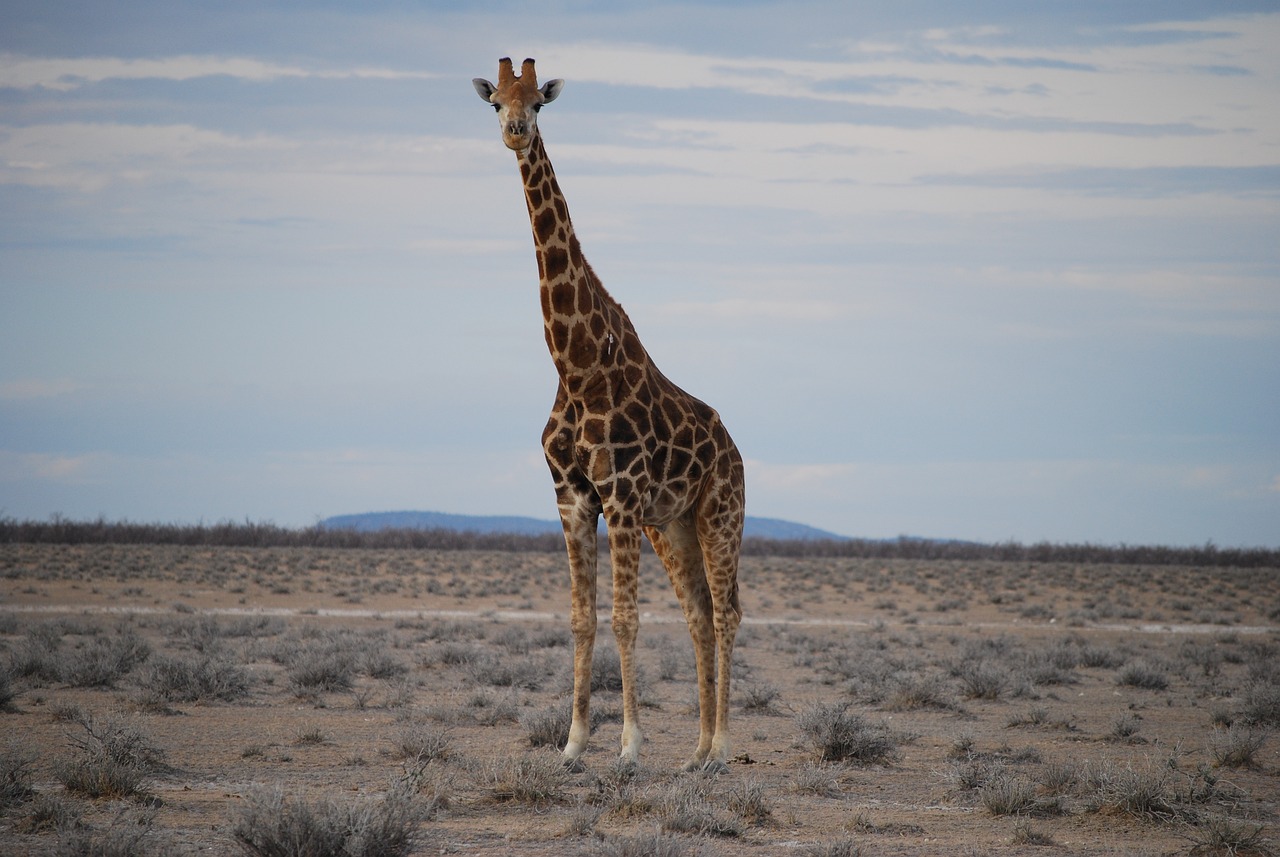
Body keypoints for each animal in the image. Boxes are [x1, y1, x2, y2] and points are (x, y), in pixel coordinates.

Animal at [476, 58, 747, 772]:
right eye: (496, 104)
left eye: (539, 102)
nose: (516, 132)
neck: (574, 366)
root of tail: (735, 448)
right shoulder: (574, 498)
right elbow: (583, 618)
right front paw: (572, 744)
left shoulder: (620, 497)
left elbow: (626, 618)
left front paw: (629, 746)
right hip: (672, 526)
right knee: (698, 614)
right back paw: (697, 752)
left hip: (719, 513)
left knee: (727, 613)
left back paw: (723, 747)